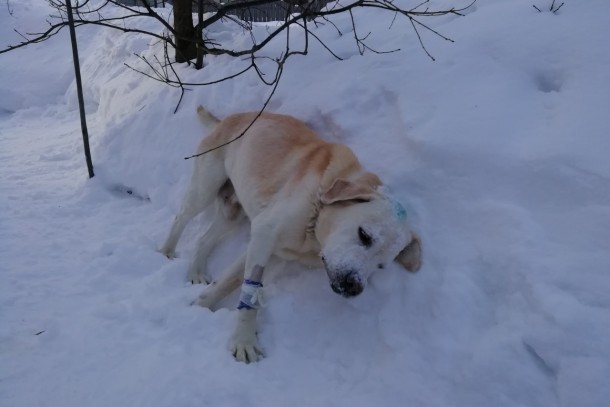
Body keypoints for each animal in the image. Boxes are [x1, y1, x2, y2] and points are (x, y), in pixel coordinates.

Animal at [159, 105, 420, 364]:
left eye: (381, 266)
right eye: (364, 235)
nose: (354, 287)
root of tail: (227, 119)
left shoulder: (268, 247)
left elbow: (228, 283)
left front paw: (201, 307)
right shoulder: (264, 233)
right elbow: (248, 294)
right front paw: (244, 340)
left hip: (234, 213)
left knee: (204, 238)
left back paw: (195, 272)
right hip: (204, 188)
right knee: (181, 218)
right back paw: (167, 251)